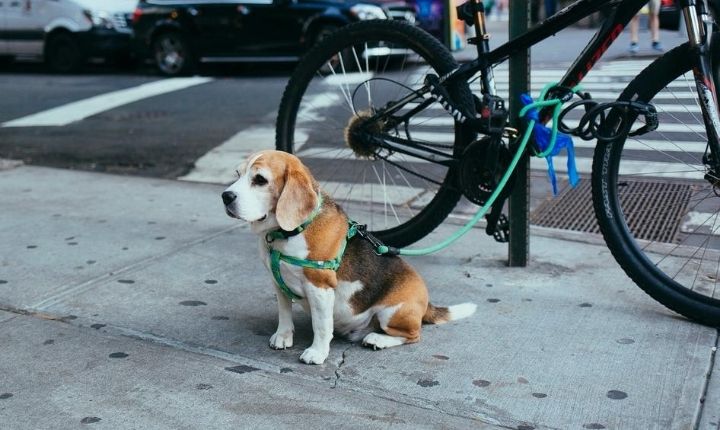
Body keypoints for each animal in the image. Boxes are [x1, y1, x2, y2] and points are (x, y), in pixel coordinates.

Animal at [222, 149, 476, 364]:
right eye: (238, 174)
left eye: (260, 180)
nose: (226, 196)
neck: (287, 233)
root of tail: (426, 302)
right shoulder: (278, 282)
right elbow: (284, 313)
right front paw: (283, 336)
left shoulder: (320, 287)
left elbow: (322, 325)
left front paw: (317, 353)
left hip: (392, 312)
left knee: (414, 335)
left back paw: (378, 339)